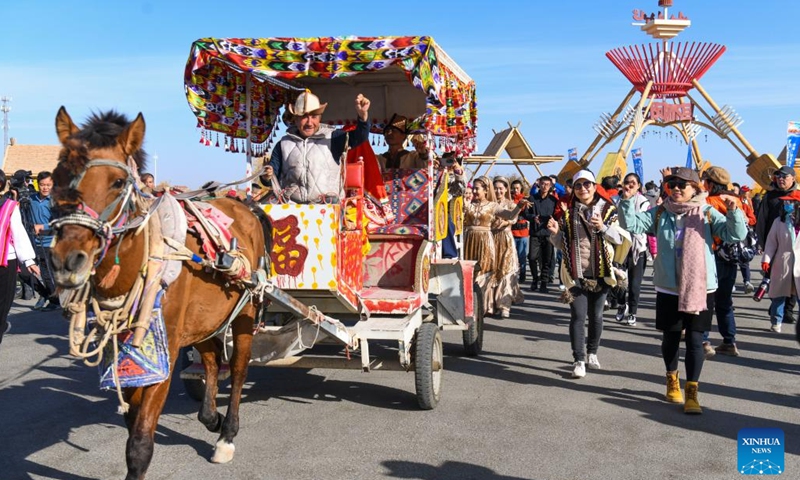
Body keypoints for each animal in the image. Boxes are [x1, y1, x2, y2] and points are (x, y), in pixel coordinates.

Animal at [48, 109, 268, 480]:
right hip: (203, 320)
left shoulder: (163, 350)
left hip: (245, 310)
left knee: (238, 369)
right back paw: (211, 417)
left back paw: (226, 434)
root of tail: (246, 207)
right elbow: (132, 417)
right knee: (212, 360)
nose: (67, 260)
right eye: (57, 175)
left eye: (117, 182)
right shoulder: (126, 351)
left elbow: (139, 444)